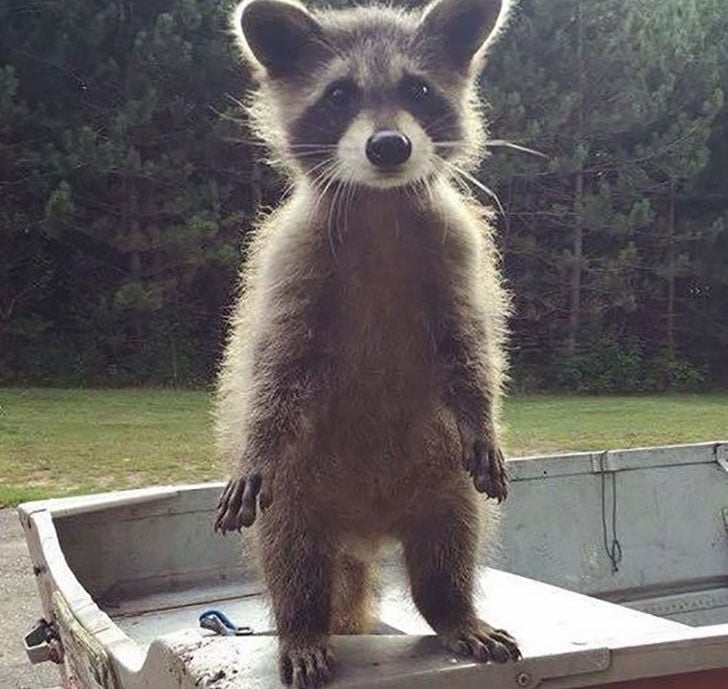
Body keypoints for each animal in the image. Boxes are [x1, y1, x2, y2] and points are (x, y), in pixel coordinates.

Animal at [214, 0, 519, 686]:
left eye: (419, 90)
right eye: (339, 95)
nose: (388, 146)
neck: (380, 207)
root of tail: (365, 535)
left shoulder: (453, 252)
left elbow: (472, 347)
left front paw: (483, 414)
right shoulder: (294, 261)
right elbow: (274, 363)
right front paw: (255, 441)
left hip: (442, 479)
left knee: (449, 545)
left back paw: (453, 612)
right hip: (299, 487)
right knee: (291, 554)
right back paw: (300, 627)